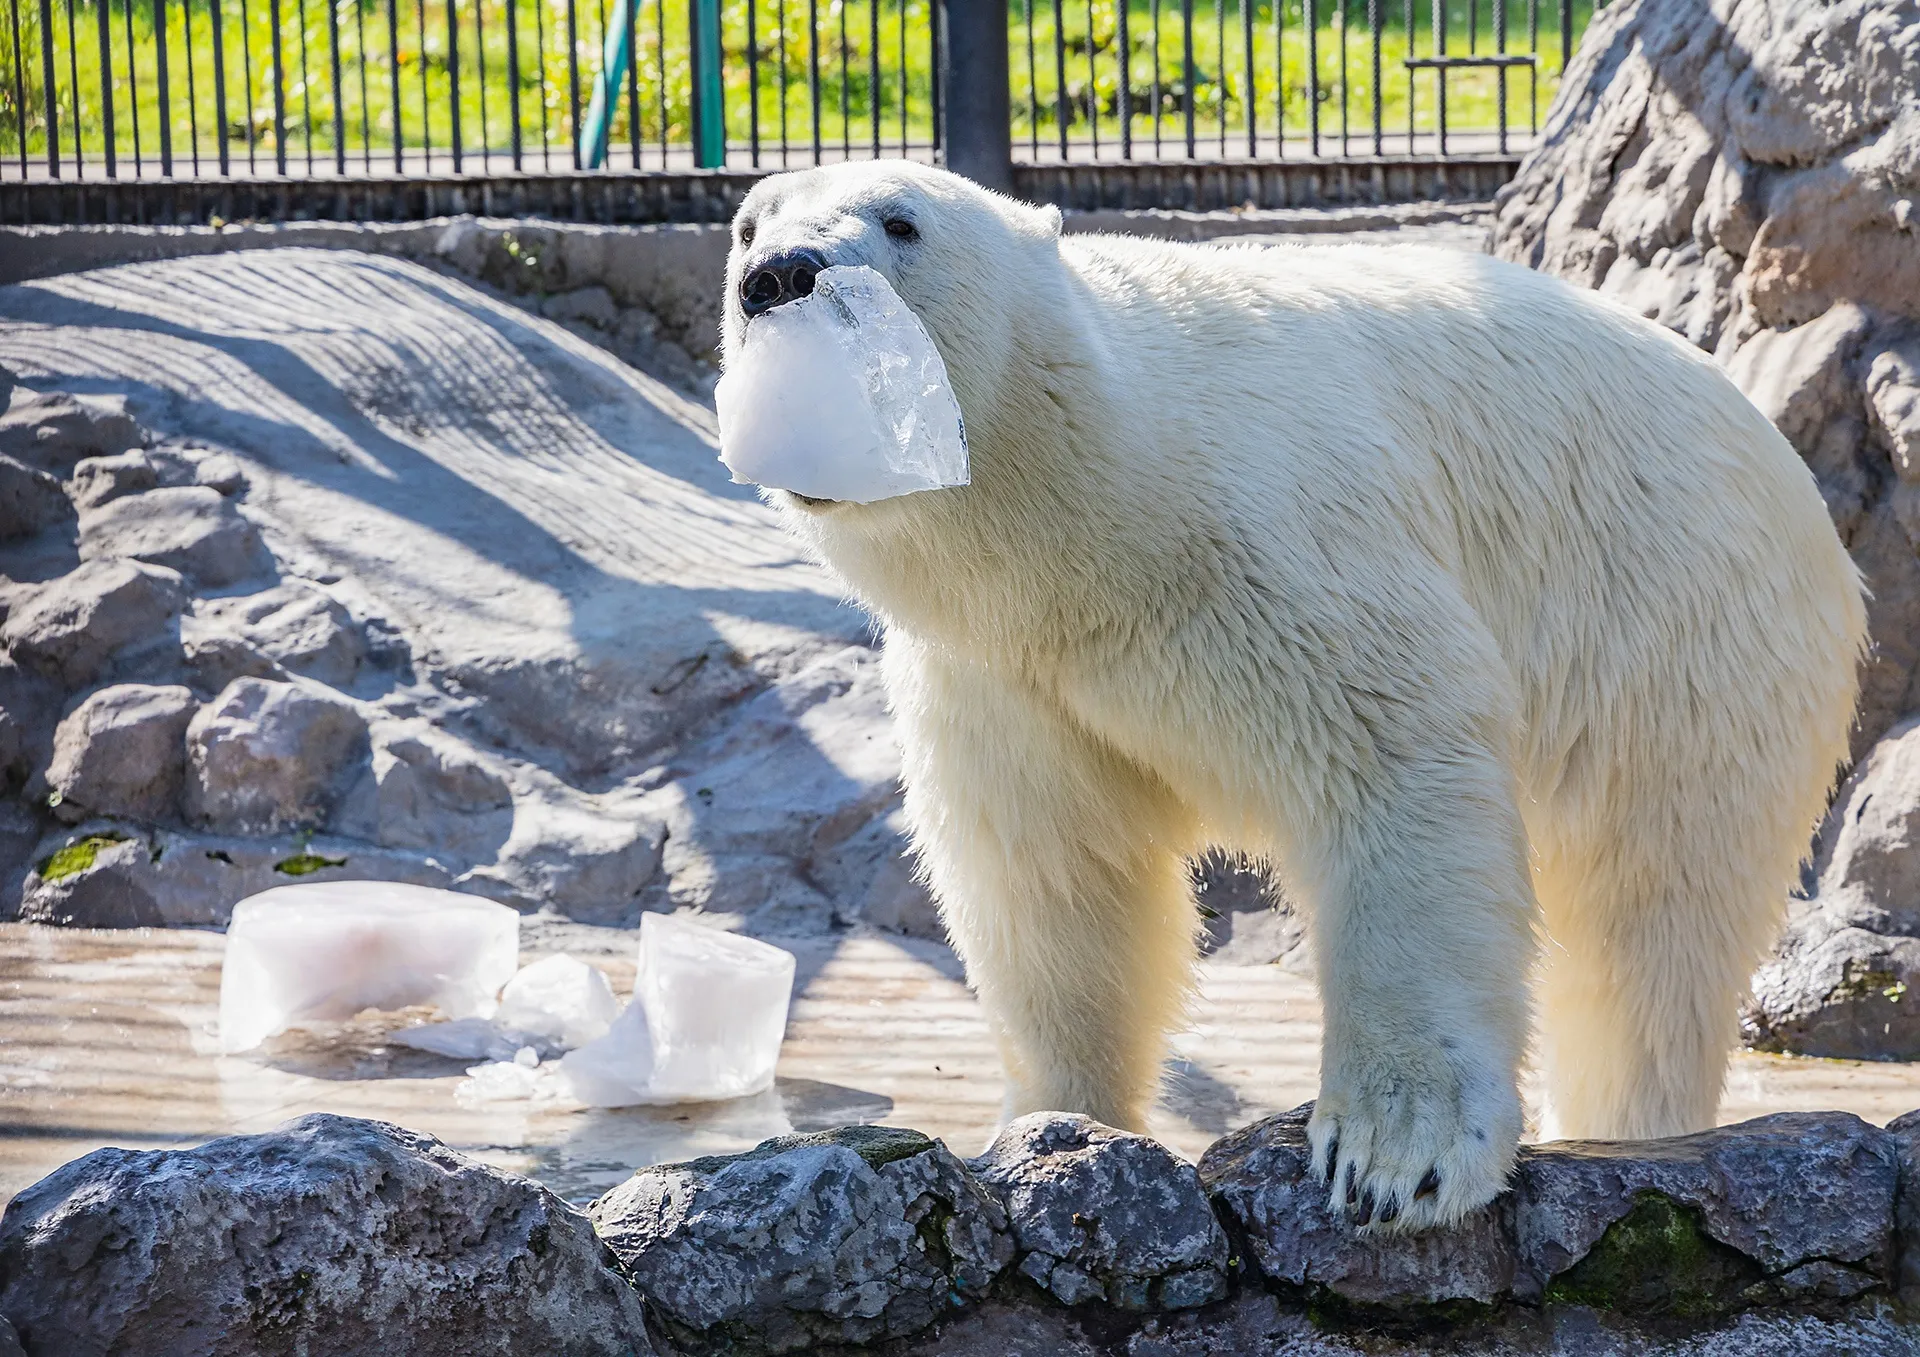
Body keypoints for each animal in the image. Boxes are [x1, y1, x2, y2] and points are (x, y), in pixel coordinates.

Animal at [721, 159, 1858, 1228]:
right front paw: (1046, 1125)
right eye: (747, 222)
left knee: (1651, 923)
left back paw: (1634, 1125)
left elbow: (1391, 767)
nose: (776, 275)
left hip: (1680, 633)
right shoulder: (1006, 675)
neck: (1093, 513)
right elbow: (1052, 874)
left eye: (901, 220)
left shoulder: (1274, 540)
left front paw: (1396, 1159)